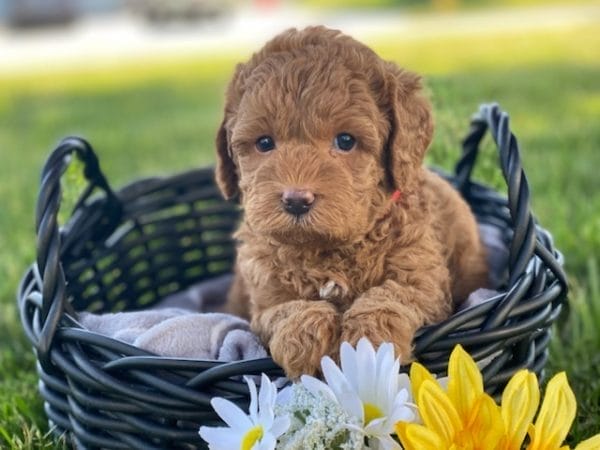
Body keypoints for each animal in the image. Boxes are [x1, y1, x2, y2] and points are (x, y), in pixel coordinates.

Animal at [216, 26, 488, 378]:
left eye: (346, 140)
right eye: (264, 143)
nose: (296, 200)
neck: (326, 250)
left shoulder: (423, 279)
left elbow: (395, 294)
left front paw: (370, 342)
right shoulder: (261, 298)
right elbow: (283, 310)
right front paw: (306, 334)